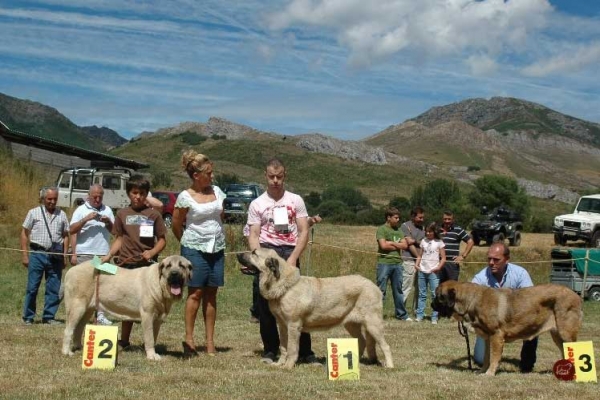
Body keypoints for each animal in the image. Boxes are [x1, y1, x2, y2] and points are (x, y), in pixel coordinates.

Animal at [61, 255, 192, 360]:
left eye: (182, 266)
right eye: (168, 266)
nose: (174, 274)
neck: (161, 284)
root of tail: (70, 271)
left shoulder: (158, 319)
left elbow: (154, 337)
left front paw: (153, 352)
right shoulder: (148, 315)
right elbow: (149, 337)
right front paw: (151, 356)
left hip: (87, 309)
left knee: (78, 328)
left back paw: (80, 347)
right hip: (77, 307)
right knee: (68, 330)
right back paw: (66, 352)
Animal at [237, 248, 396, 370]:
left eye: (254, 253)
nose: (238, 254)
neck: (282, 285)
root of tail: (374, 286)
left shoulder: (293, 325)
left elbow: (292, 348)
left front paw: (288, 366)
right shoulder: (282, 325)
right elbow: (283, 347)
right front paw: (279, 364)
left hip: (373, 324)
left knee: (385, 346)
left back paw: (389, 366)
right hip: (351, 324)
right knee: (362, 341)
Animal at [434, 282, 584, 376]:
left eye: (438, 297)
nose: (431, 304)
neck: (471, 301)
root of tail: (576, 295)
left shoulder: (496, 335)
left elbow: (494, 357)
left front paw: (490, 373)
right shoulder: (488, 339)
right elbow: (486, 357)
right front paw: (482, 371)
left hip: (565, 332)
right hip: (557, 335)